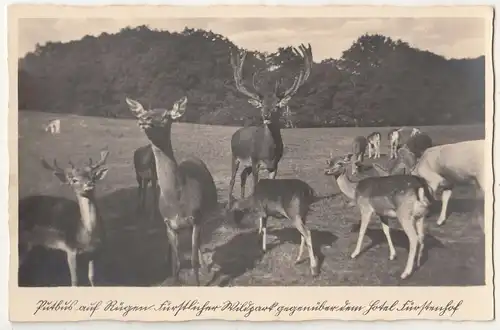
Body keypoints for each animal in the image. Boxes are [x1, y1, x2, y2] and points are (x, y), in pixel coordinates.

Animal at [19, 150, 110, 286]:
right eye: (74, 180)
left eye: (92, 176)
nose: (89, 184)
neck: (86, 236)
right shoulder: (70, 249)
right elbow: (75, 281)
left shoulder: (94, 252)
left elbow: (92, 277)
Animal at [125, 96, 219, 286]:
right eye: (145, 111)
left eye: (167, 115)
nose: (144, 119)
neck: (177, 201)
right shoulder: (169, 223)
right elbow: (177, 263)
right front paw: (175, 279)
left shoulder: (196, 218)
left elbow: (193, 260)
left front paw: (199, 281)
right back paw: (166, 259)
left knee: (199, 242)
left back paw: (205, 266)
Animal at [227, 43, 312, 210]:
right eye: (262, 105)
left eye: (276, 106)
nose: (265, 116)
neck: (268, 152)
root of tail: (236, 133)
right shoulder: (255, 161)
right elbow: (255, 185)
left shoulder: (275, 165)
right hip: (235, 156)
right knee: (232, 179)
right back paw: (228, 204)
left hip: (246, 164)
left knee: (242, 176)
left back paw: (242, 199)